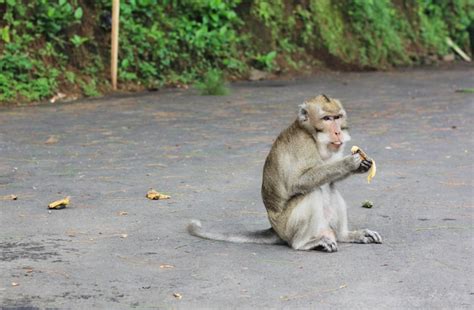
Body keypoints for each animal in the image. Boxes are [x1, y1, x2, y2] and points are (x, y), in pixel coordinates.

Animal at [188, 94, 382, 252]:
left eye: (337, 117)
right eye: (327, 118)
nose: (337, 131)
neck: (312, 135)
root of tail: (275, 229)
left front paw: (361, 165)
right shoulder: (303, 144)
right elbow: (297, 182)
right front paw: (349, 163)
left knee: (330, 188)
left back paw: (345, 235)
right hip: (288, 227)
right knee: (313, 192)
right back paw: (304, 243)